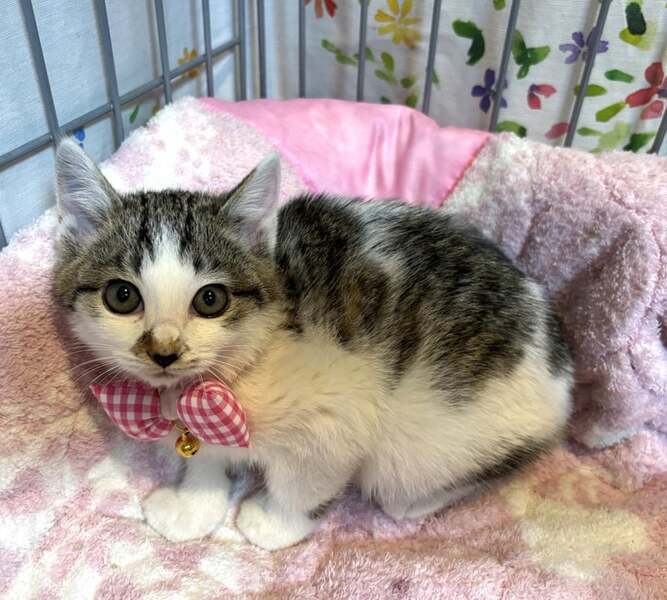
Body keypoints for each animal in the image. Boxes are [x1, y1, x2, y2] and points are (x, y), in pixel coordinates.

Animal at [53, 138, 573, 550]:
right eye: (122, 296)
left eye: (210, 299)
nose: (164, 351)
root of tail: (562, 363)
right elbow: (204, 460)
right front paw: (190, 509)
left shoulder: (337, 413)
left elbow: (303, 481)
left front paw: (271, 524)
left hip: (432, 445)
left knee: (411, 486)